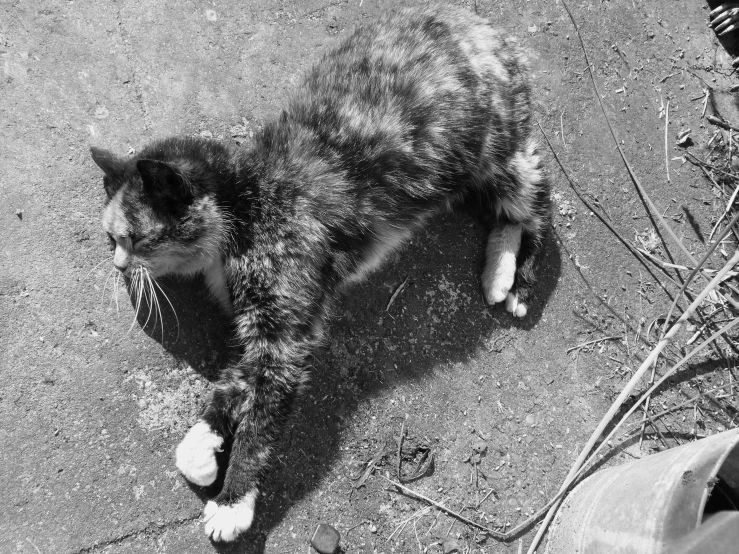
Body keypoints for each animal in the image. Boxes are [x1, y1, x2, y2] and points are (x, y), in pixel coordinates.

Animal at [89, 3, 548, 540]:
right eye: (112, 239)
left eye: (135, 239)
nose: (118, 264)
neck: (245, 203)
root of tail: (474, 21)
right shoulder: (265, 333)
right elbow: (234, 384)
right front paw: (201, 448)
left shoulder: (284, 337)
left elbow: (261, 417)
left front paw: (232, 500)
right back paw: (499, 270)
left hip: (496, 151)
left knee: (536, 200)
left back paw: (513, 280)